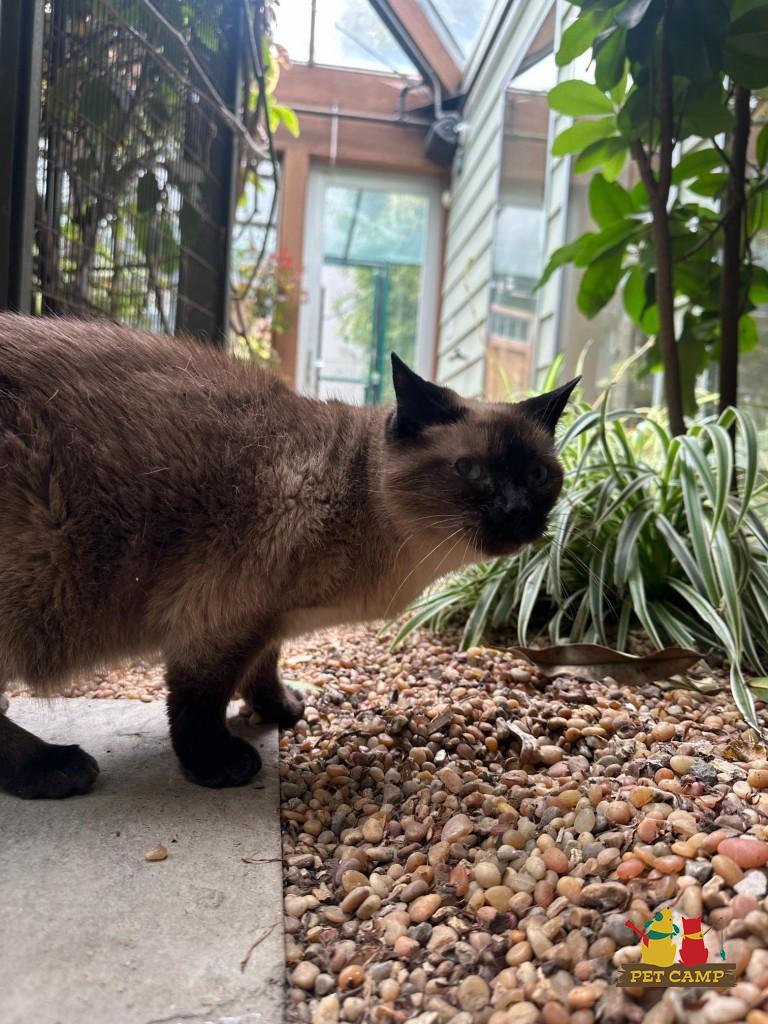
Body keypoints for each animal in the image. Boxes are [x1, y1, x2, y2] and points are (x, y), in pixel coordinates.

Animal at [0, 313, 578, 799]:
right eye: (471, 471)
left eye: (538, 476)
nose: (517, 511)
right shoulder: (220, 617)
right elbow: (199, 701)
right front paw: (216, 765)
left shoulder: (267, 619)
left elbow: (263, 668)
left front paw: (280, 711)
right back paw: (53, 768)